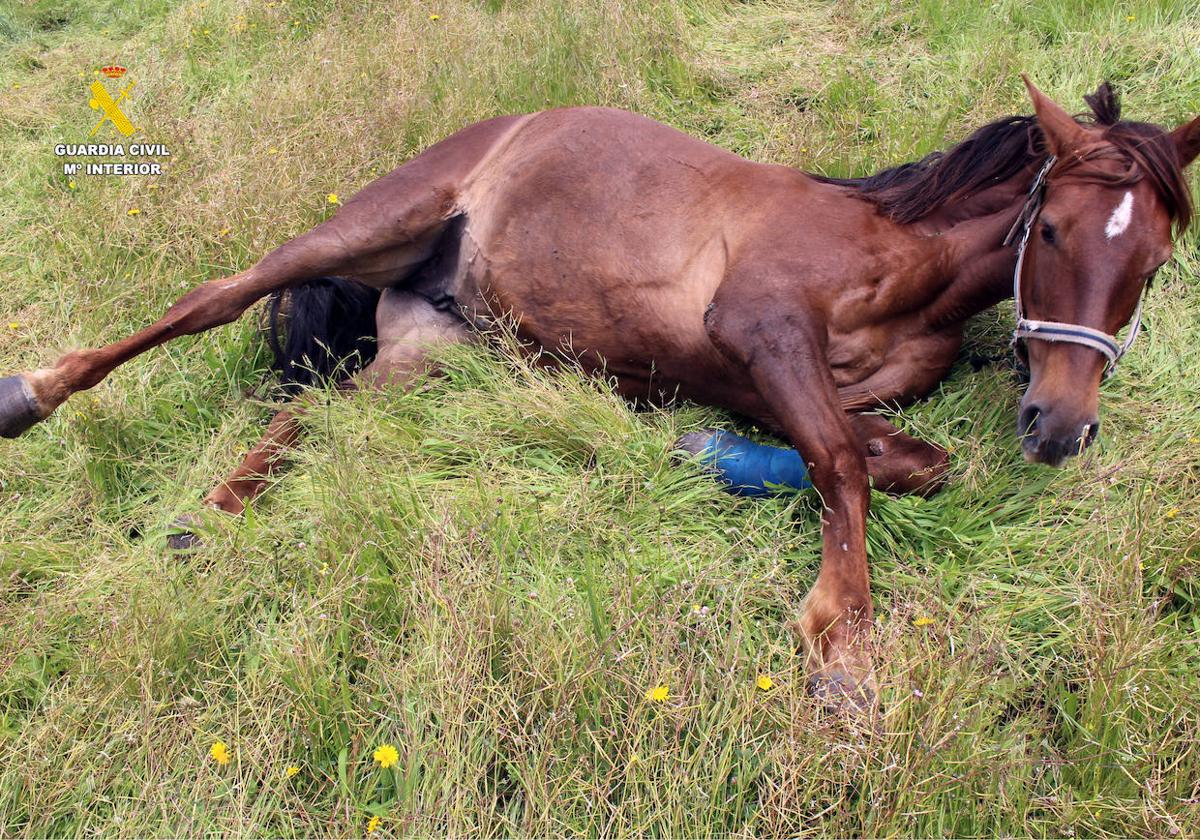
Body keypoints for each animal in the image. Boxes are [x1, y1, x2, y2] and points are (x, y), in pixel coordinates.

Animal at [0, 77, 1195, 710]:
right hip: (366, 227)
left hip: (429, 349)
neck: (900, 255)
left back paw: (207, 522)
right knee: (211, 300)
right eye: (1052, 230)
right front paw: (844, 649)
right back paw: (35, 393)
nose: (1059, 428)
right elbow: (843, 461)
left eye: (1155, 260)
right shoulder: (760, 329)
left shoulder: (776, 381)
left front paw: (704, 457)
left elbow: (892, 458)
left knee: (317, 414)